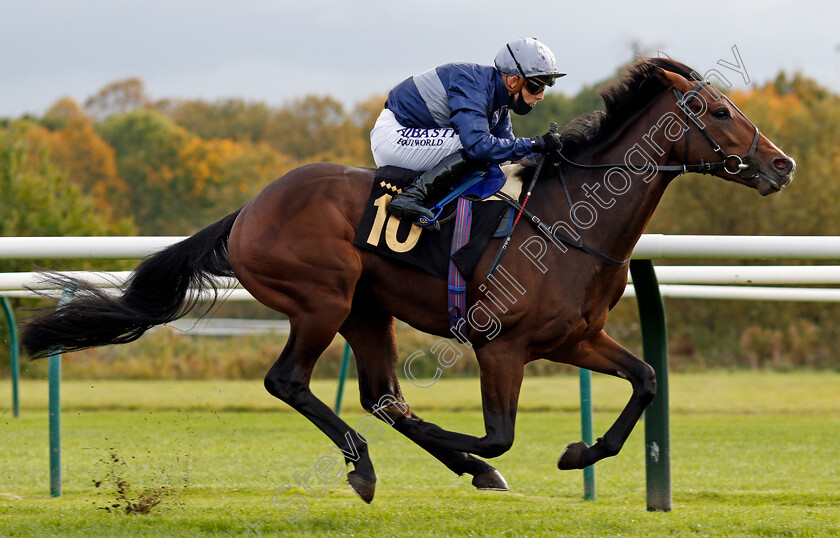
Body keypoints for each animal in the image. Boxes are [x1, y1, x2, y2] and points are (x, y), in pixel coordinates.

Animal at [19, 58, 796, 502]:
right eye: (720, 111)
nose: (781, 163)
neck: (567, 219)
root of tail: (249, 209)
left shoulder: (574, 337)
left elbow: (647, 379)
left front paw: (579, 453)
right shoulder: (500, 345)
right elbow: (497, 436)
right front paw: (477, 453)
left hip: (366, 309)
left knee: (381, 396)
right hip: (321, 298)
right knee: (293, 383)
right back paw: (367, 467)